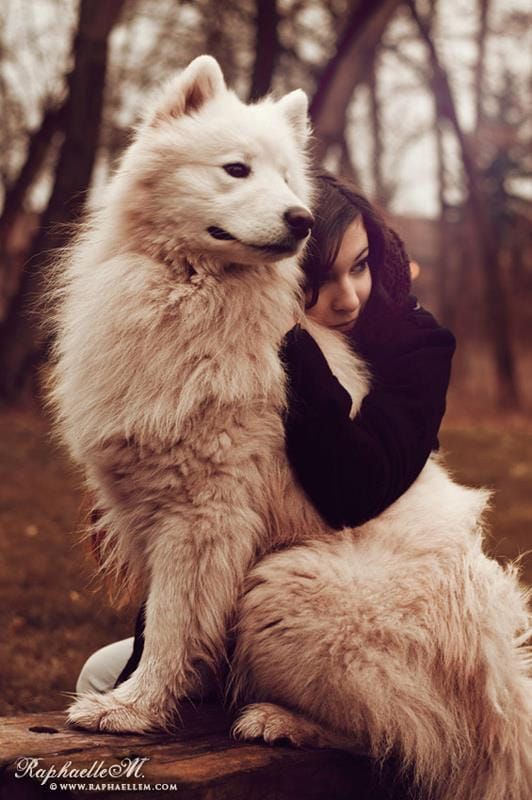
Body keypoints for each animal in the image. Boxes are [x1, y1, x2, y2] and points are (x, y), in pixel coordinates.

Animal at [51, 57, 532, 800]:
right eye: (237, 169)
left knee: (405, 737)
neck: (193, 294)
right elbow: (164, 622)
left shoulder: (204, 515)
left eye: (287, 179)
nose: (301, 219)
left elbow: (171, 624)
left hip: (285, 585)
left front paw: (132, 708)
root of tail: (503, 678)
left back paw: (278, 720)